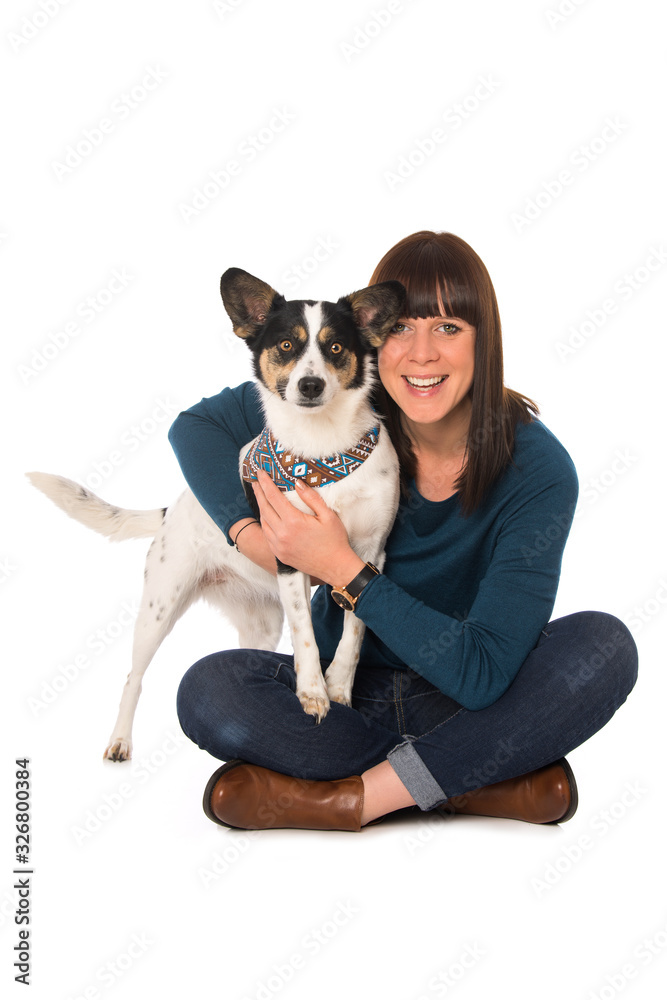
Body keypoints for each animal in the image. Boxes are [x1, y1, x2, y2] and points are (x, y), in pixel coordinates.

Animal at [27, 270, 408, 760]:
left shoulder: (368, 557)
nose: (310, 386)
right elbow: (306, 636)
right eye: (287, 345)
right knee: (133, 677)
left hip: (260, 621)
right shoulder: (291, 556)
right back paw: (119, 741)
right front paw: (313, 692)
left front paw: (339, 687)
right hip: (159, 608)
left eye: (336, 347)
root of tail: (173, 507)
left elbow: (354, 633)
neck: (320, 451)